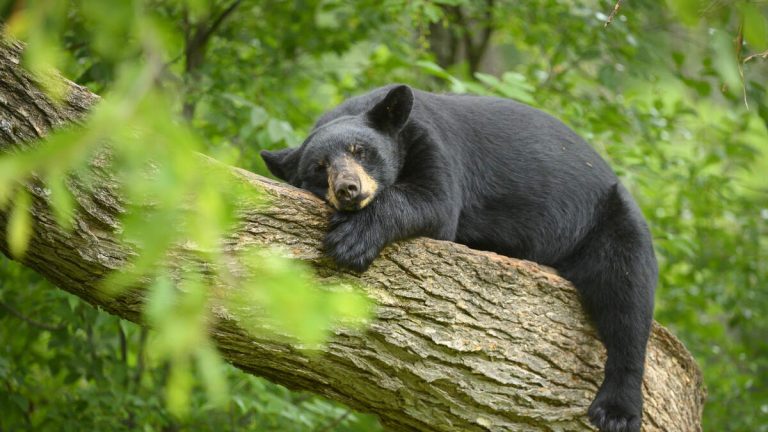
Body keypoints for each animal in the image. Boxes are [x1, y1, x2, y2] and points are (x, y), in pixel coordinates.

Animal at [260, 85, 656, 432]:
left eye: (361, 150)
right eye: (319, 167)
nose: (348, 189)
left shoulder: (432, 144)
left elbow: (435, 201)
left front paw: (352, 240)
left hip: (609, 221)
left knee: (627, 296)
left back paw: (616, 410)